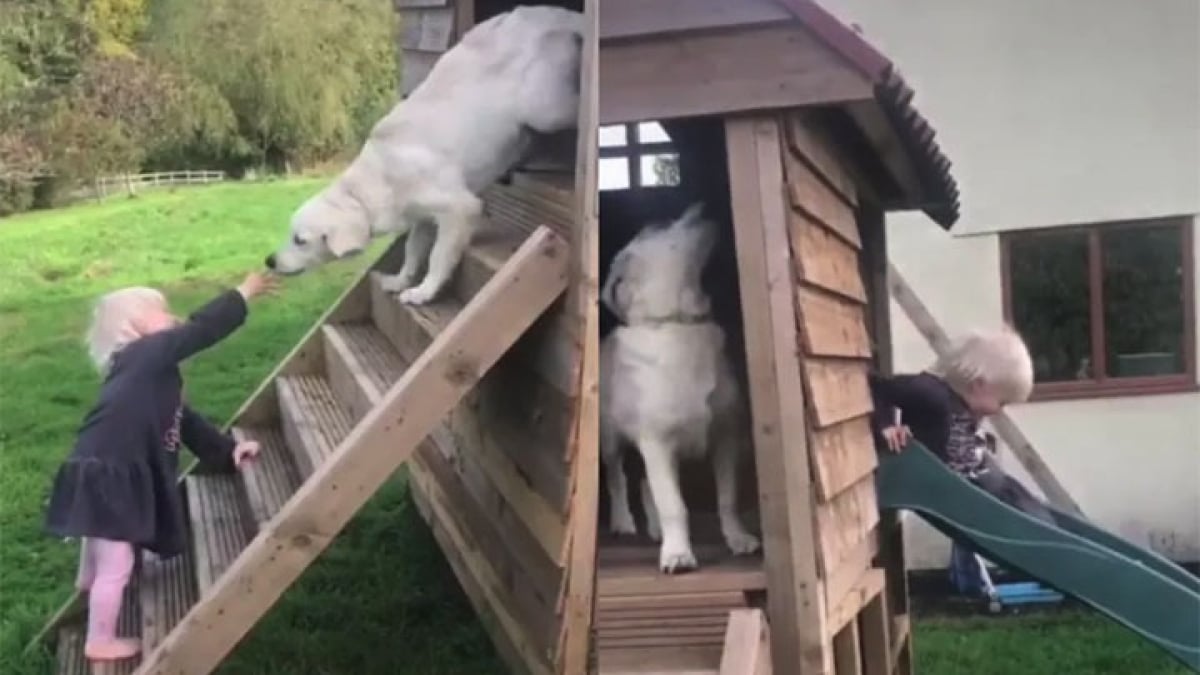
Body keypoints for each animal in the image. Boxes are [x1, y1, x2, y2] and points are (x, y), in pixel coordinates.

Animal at [600, 201, 758, 569]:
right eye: (660, 225)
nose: (704, 203)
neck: (679, 322)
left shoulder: (726, 436)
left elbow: (727, 499)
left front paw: (737, 538)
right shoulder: (656, 441)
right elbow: (674, 505)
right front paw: (678, 553)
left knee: (644, 483)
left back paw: (656, 530)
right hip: (609, 440)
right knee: (618, 479)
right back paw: (623, 522)